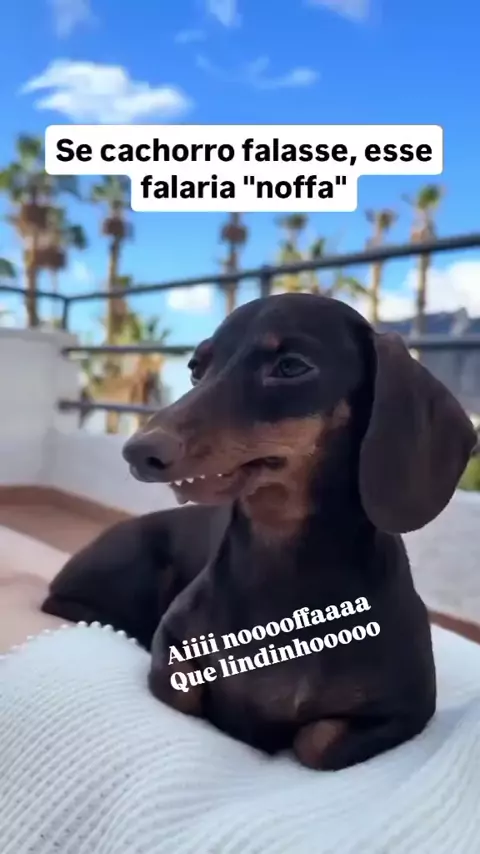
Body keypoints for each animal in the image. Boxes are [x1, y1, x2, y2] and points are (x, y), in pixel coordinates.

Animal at [42, 293, 477, 770]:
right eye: (196, 368)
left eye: (291, 366)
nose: (138, 452)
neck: (282, 567)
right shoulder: (172, 645)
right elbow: (182, 690)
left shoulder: (409, 712)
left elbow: (315, 744)